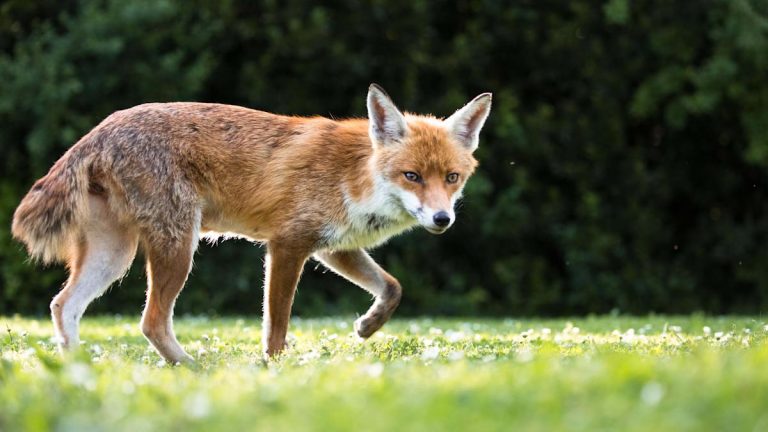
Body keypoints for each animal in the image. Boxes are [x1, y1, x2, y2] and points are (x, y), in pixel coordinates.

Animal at [11, 84, 492, 363]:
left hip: (115, 256)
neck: (354, 175)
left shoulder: (333, 247)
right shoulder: (288, 245)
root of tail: (102, 128)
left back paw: (76, 370)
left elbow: (392, 288)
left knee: (64, 305)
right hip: (177, 249)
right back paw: (192, 368)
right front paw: (275, 368)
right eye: (412, 176)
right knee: (150, 322)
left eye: (451, 178)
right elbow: (276, 325)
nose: (442, 218)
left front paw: (367, 326)